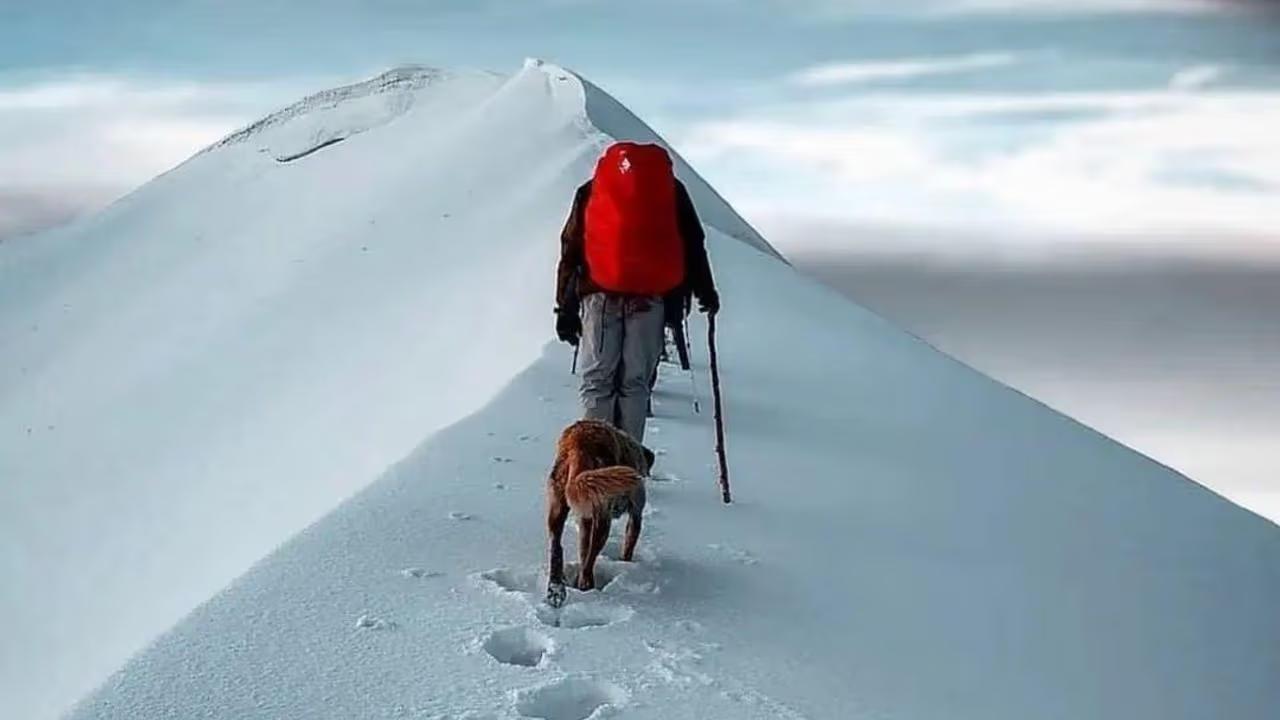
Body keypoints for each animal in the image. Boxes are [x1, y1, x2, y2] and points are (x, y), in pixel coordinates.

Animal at [545, 415, 655, 604]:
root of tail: (579, 443)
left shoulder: (585, 519)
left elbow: (583, 548)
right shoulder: (636, 513)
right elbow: (629, 544)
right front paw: (626, 562)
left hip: (558, 503)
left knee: (557, 546)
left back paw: (556, 588)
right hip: (603, 515)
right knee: (591, 558)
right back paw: (586, 585)